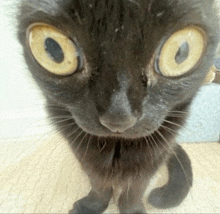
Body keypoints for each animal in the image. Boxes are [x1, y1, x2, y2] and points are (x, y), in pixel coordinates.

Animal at [17, 0, 220, 213]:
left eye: (181, 53)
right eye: (53, 49)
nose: (119, 116)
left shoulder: (155, 154)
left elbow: (135, 188)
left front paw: (131, 209)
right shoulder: (82, 152)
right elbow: (98, 182)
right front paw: (93, 205)